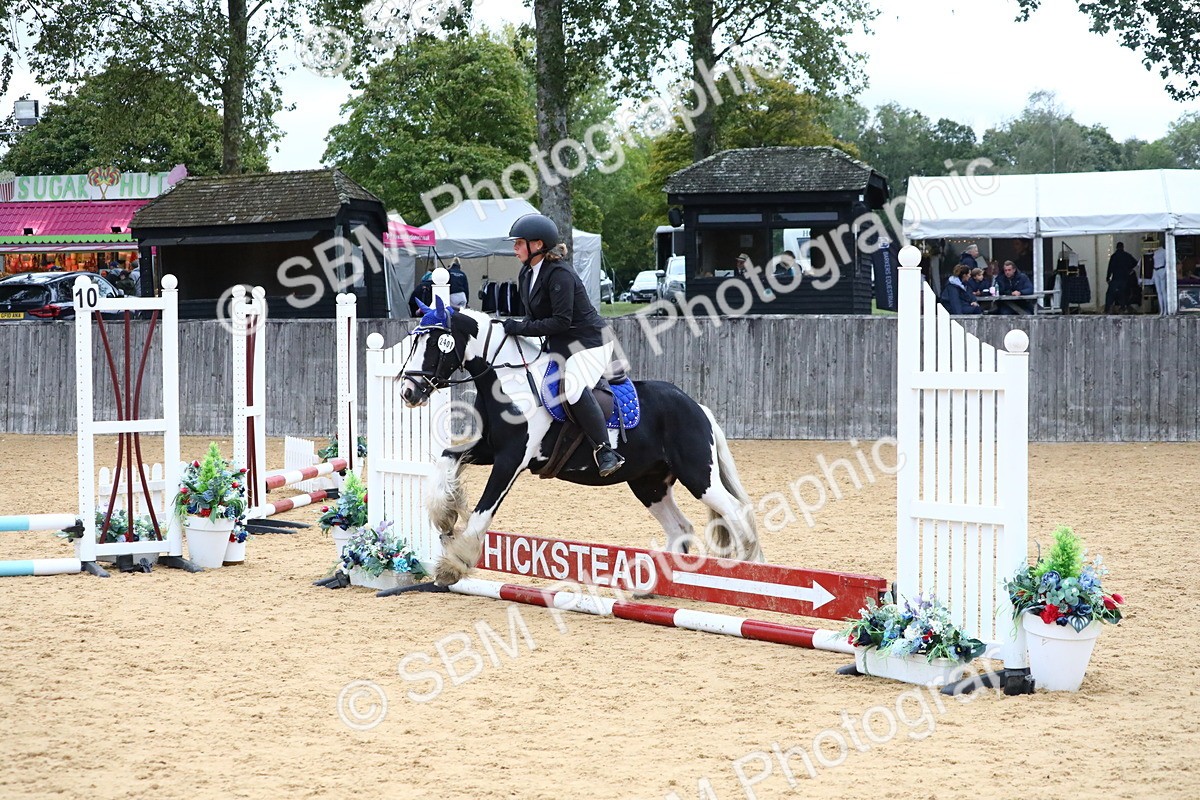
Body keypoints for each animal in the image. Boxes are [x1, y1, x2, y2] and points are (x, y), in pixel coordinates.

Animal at [398, 300, 764, 587]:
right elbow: (446, 460)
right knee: (680, 527)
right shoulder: (488, 449)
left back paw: (751, 571)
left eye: (435, 343)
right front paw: (445, 515)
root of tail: (697, 407)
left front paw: (454, 564)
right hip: (648, 483)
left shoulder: (511, 460)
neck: (509, 381)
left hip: (698, 475)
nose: (408, 392)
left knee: (735, 512)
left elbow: (483, 511)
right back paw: (658, 587)